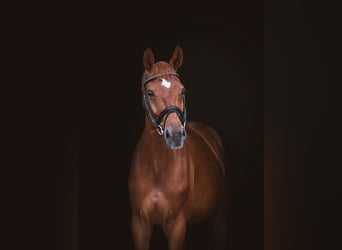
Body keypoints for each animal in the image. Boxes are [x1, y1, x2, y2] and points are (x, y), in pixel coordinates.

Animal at [128, 46, 227, 249]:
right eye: (150, 92)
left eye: (182, 90)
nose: (175, 135)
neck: (157, 166)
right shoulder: (139, 224)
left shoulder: (176, 225)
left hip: (219, 213)